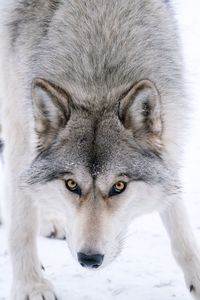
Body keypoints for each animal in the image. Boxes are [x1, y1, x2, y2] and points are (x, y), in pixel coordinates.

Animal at [0, 0, 200, 298]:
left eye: (119, 186)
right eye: (72, 184)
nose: (89, 259)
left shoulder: (169, 143)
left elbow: (180, 224)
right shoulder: (20, 124)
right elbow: (21, 224)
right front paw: (31, 286)